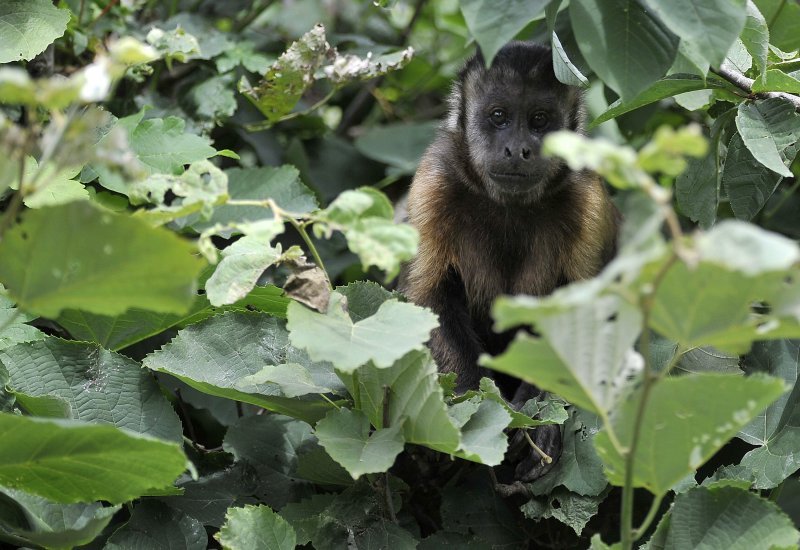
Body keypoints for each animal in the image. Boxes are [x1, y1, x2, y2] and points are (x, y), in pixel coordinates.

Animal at [400, 43, 620, 484]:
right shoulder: (434, 181)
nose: (518, 148)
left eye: (539, 120)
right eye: (499, 116)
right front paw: (482, 415)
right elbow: (428, 300)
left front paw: (541, 424)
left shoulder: (587, 197)